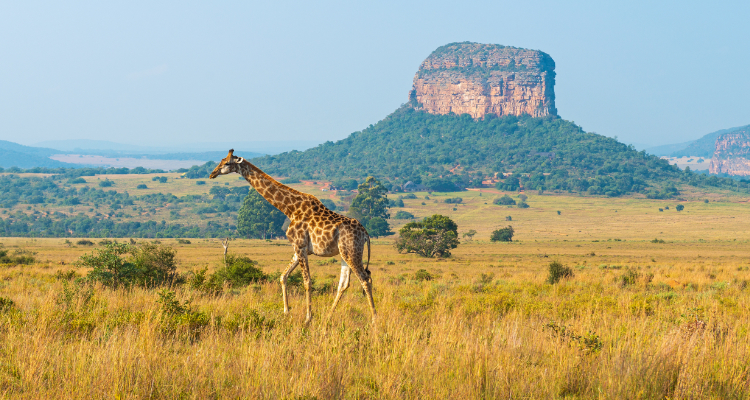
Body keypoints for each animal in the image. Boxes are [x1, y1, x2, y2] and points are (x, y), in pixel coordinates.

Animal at [210, 150, 376, 324]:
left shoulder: (300, 246)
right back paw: (328, 316)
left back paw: (374, 319)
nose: (212, 173)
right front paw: (286, 312)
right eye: (221, 160)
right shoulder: (298, 248)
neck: (289, 209)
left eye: (227, 163)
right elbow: (283, 276)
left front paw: (308, 318)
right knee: (343, 284)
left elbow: (307, 281)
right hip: (345, 253)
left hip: (352, 252)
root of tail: (365, 234)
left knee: (365, 279)